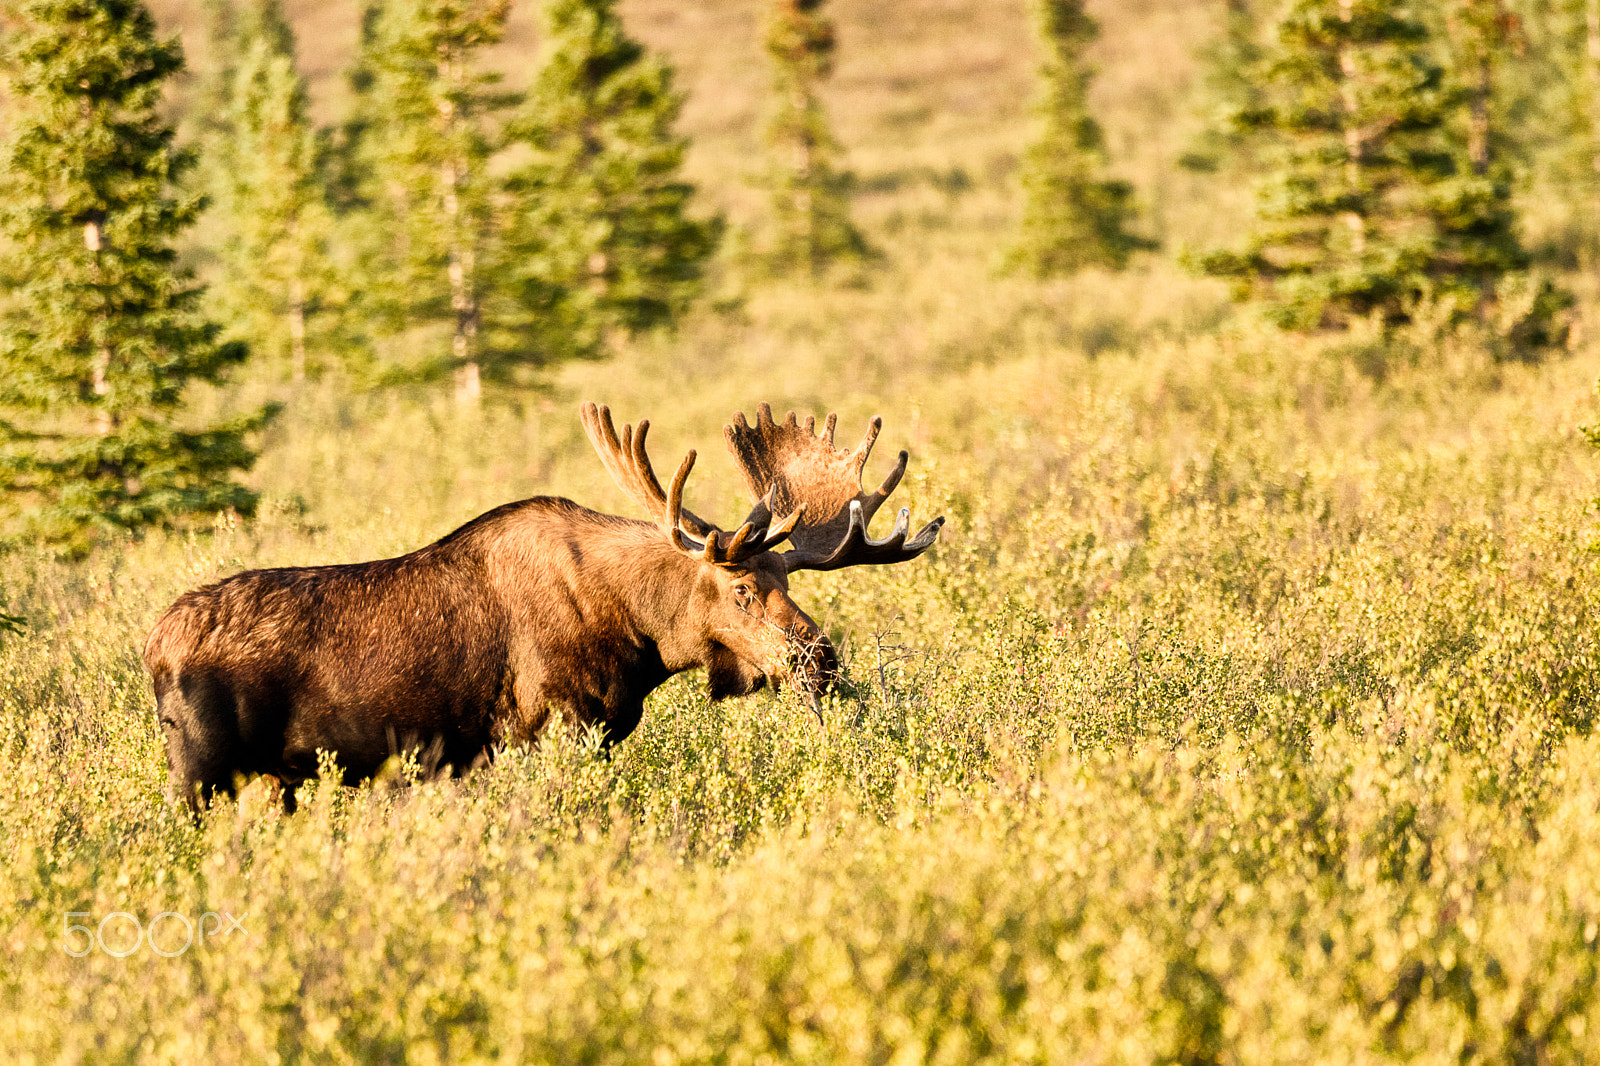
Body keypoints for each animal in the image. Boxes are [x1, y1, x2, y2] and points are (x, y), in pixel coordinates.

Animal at [144, 402, 943, 813]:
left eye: (792, 580)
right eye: (744, 589)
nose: (822, 661)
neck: (639, 636)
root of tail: (151, 649)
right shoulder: (552, 728)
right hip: (200, 774)